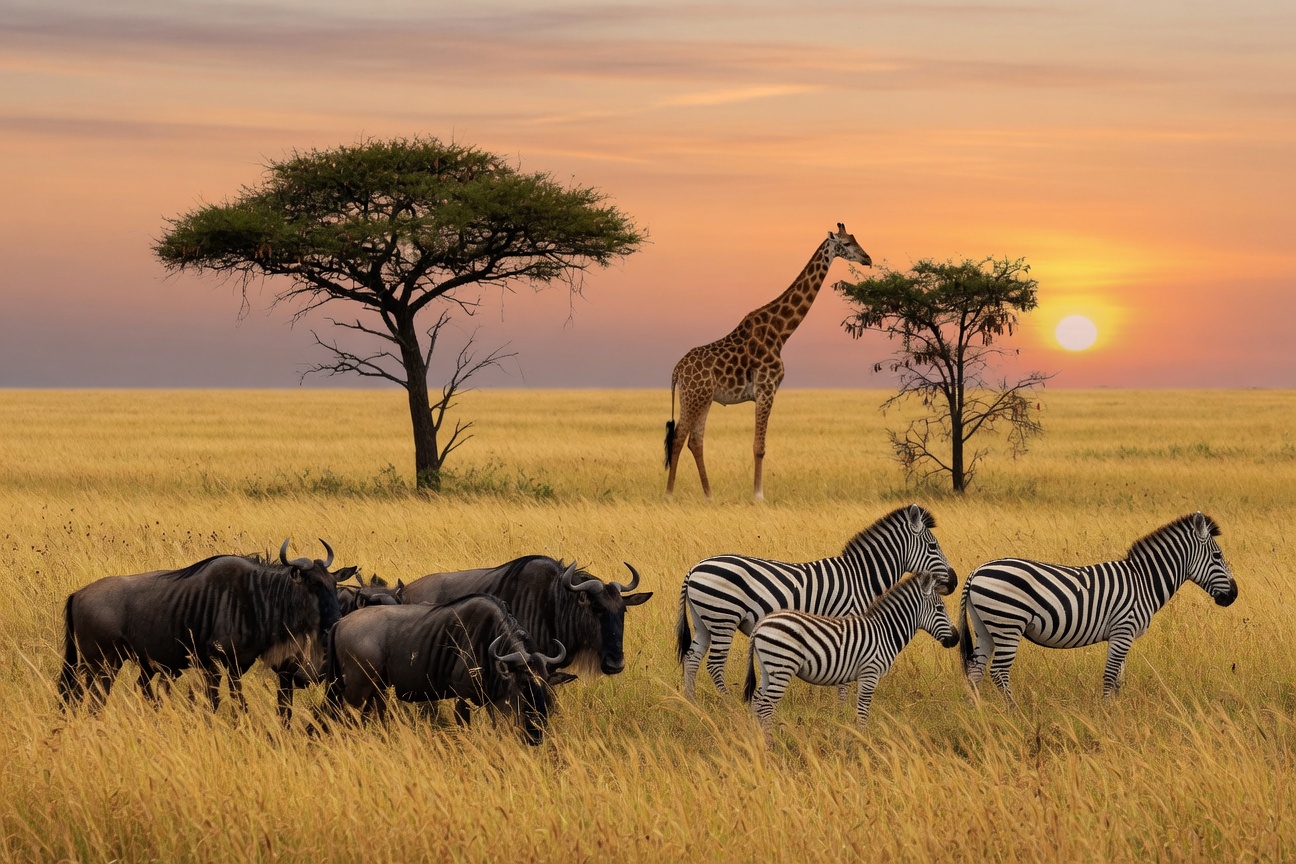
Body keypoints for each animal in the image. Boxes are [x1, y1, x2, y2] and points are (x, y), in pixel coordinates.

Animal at [664, 223, 872, 501]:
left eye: (855, 239)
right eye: (847, 244)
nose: (868, 259)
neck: (781, 332)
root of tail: (677, 370)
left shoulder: (767, 391)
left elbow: (757, 445)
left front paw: (756, 494)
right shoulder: (766, 388)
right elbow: (759, 446)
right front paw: (758, 496)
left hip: (702, 398)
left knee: (695, 441)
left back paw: (709, 495)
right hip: (694, 396)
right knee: (678, 438)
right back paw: (669, 494)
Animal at [677, 503, 956, 700]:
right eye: (933, 546)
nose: (953, 581)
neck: (860, 576)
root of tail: (694, 568)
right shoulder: (850, 622)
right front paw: (841, 708)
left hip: (704, 621)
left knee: (691, 659)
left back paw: (692, 703)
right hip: (723, 617)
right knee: (714, 664)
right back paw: (729, 703)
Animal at [742, 572, 960, 738]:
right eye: (940, 608)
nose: (957, 638)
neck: (884, 631)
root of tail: (762, 623)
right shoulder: (870, 673)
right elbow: (863, 710)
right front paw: (863, 740)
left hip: (768, 669)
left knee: (757, 703)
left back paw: (756, 738)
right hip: (782, 667)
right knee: (766, 707)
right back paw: (770, 742)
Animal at [958, 512, 1238, 703]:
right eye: (1217, 556)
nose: (1233, 595)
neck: (1144, 581)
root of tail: (976, 571)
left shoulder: (1122, 635)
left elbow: (1119, 679)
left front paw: (1117, 709)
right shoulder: (1123, 630)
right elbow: (1110, 675)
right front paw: (1106, 713)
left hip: (985, 627)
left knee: (976, 671)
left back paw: (977, 711)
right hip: (1008, 624)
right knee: (999, 671)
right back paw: (1013, 712)